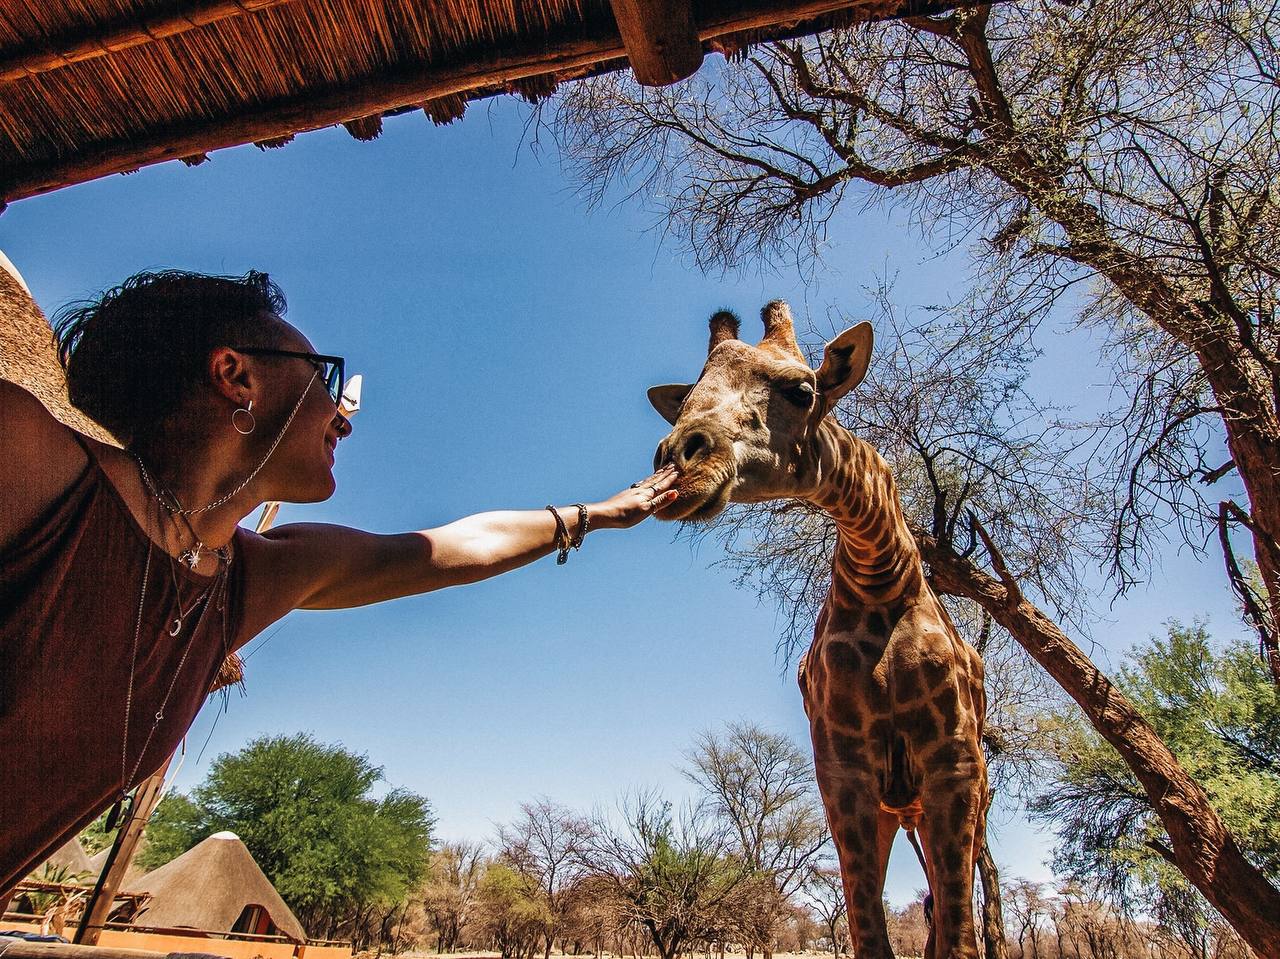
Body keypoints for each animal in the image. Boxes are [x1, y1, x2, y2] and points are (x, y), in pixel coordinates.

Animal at [650, 303, 988, 957]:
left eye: (802, 391)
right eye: (683, 404)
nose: (681, 458)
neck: (882, 580)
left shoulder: (954, 763)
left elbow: (961, 938)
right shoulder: (842, 769)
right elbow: (869, 933)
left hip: (967, 802)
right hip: (893, 809)